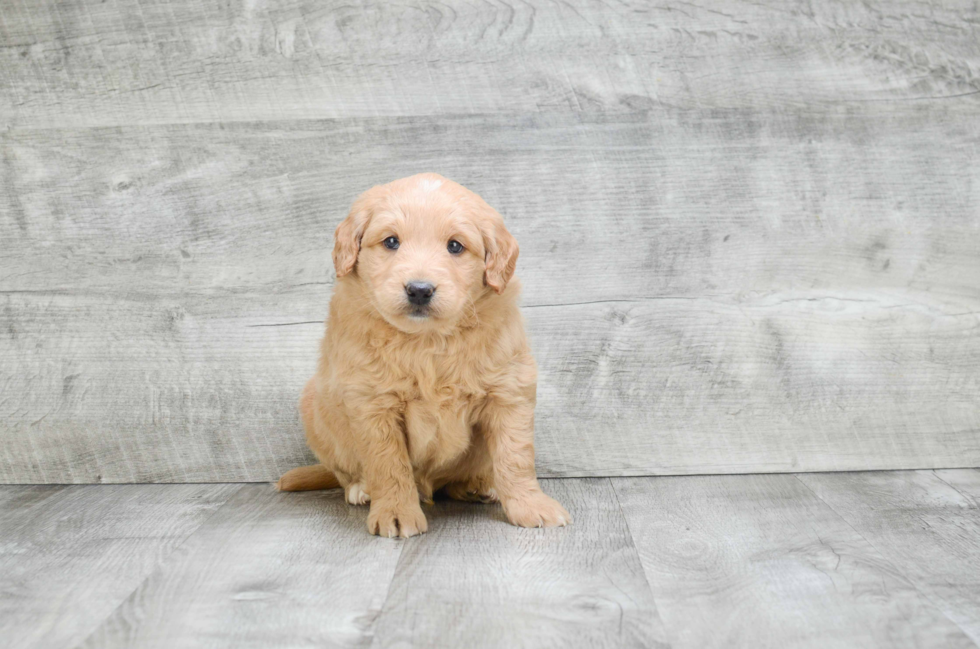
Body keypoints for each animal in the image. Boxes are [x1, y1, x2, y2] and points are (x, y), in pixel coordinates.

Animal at [276, 172, 572, 536]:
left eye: (455, 246)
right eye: (391, 242)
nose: (419, 290)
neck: (426, 341)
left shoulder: (509, 389)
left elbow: (515, 456)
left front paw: (531, 505)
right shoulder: (372, 402)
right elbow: (389, 465)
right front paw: (395, 512)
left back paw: (477, 485)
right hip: (315, 408)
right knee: (344, 472)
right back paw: (361, 489)